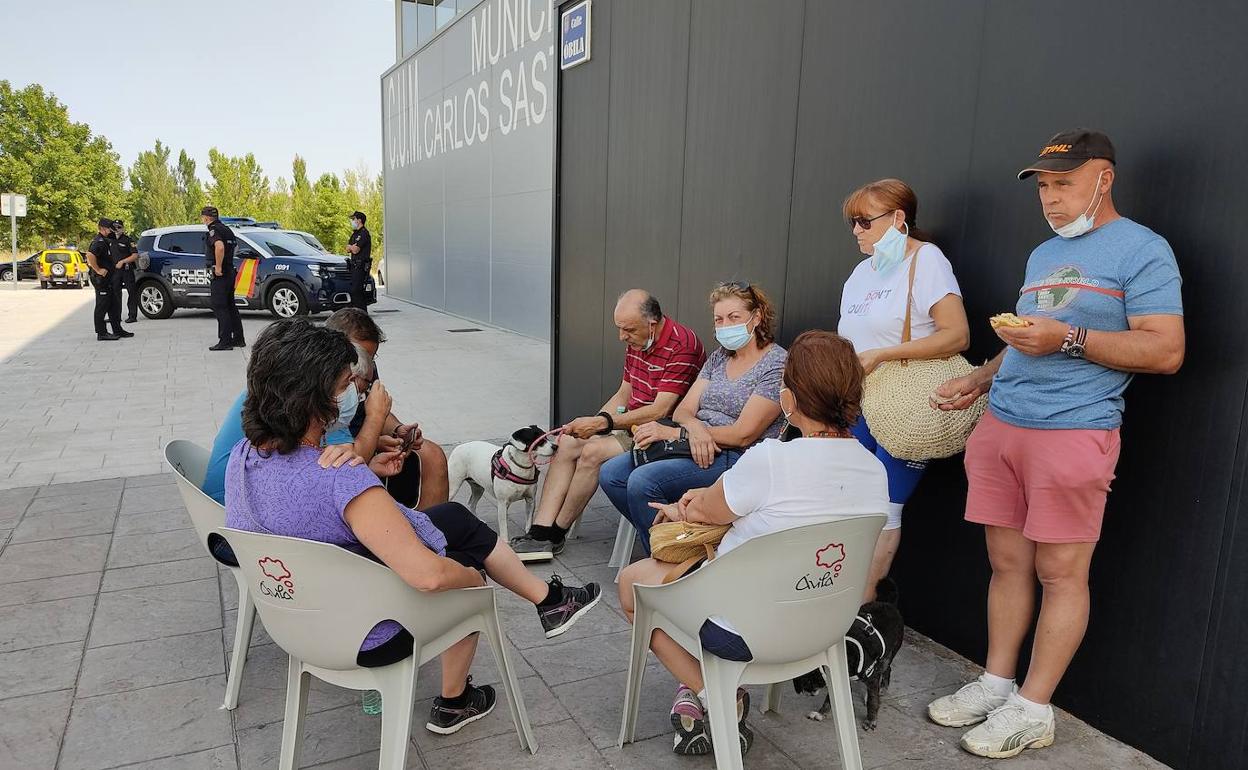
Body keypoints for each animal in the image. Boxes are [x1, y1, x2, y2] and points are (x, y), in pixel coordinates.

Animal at [793, 576, 903, 728]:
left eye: (807, 682)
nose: (804, 693)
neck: (850, 651)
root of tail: (888, 603)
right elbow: (829, 700)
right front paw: (821, 713)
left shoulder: (871, 678)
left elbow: (873, 700)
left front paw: (871, 720)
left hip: (888, 655)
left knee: (887, 669)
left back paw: (882, 688)